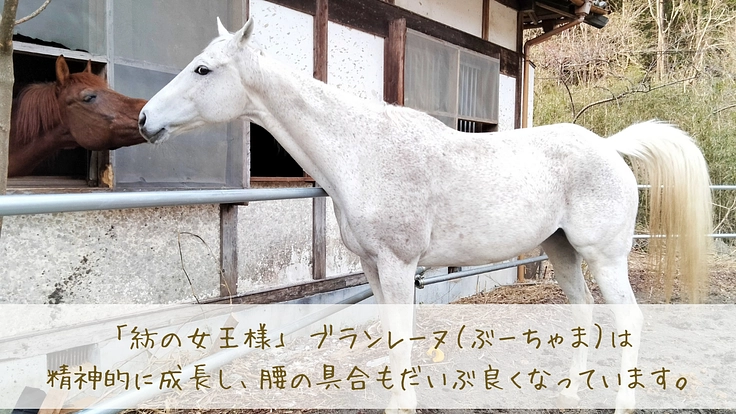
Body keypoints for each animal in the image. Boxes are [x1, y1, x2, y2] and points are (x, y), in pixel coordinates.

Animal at [138, 19, 713, 413]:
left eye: (203, 69)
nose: (143, 119)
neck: (364, 152)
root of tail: (611, 148)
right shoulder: (373, 268)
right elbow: (390, 335)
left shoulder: (398, 265)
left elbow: (400, 337)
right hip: (562, 251)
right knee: (583, 314)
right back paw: (570, 393)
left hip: (604, 256)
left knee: (628, 320)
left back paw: (621, 403)